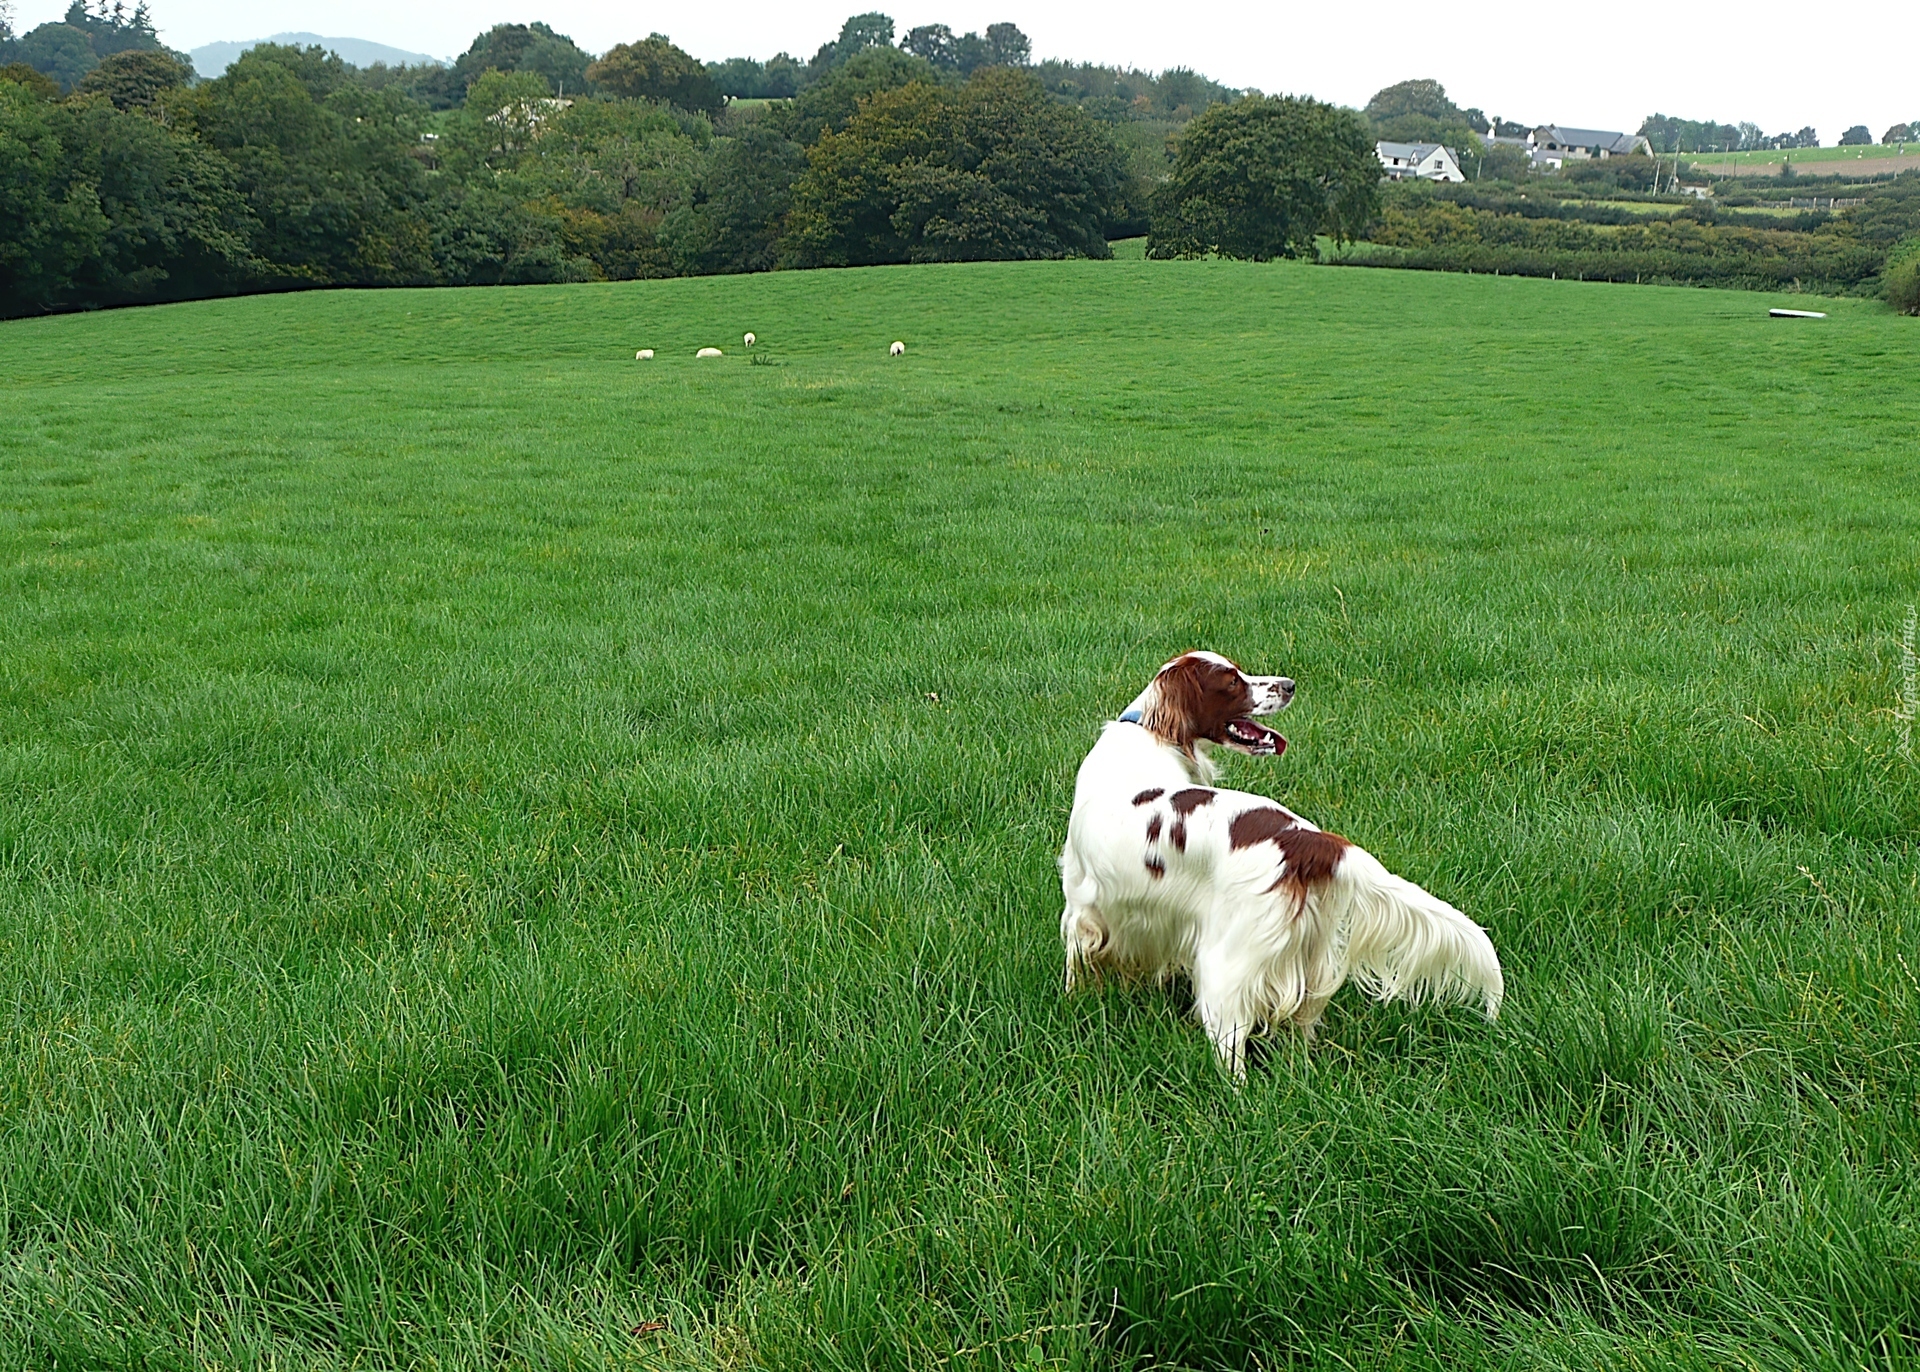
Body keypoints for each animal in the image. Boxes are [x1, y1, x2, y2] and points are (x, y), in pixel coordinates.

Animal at [1067, 648, 1497, 1082]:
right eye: (1231, 681)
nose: (1289, 685)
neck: (1145, 735)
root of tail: (1308, 840)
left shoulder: (1082, 908)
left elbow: (1077, 965)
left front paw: (1074, 1001)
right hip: (1309, 956)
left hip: (1224, 966)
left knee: (1232, 1053)